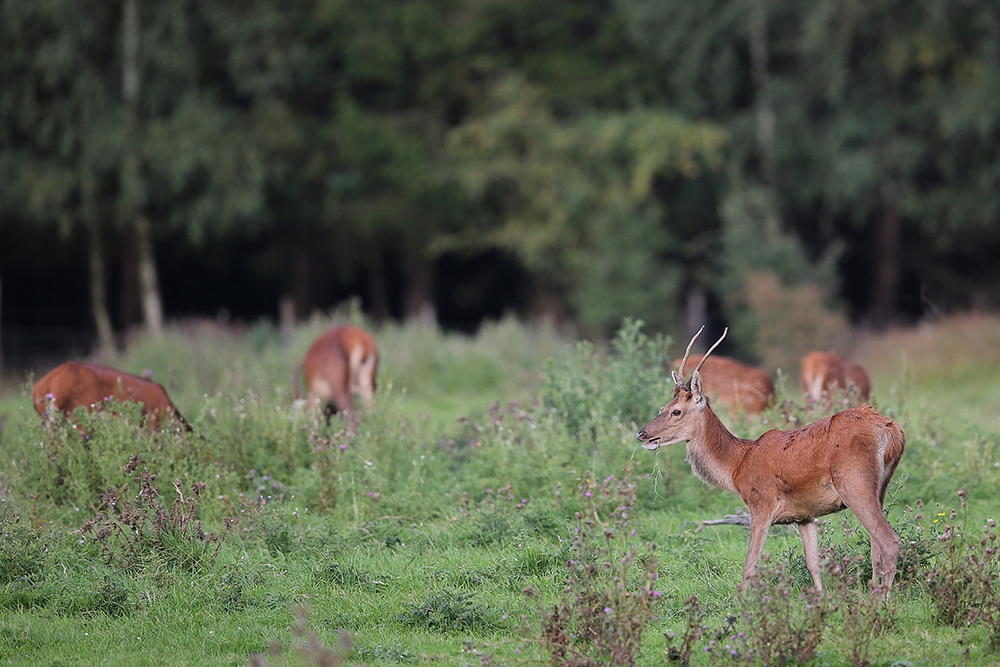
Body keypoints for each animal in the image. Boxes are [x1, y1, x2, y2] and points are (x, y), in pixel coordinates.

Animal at [640, 328, 908, 600]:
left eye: (676, 411)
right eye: (663, 407)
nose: (643, 434)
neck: (737, 466)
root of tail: (892, 431)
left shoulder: (762, 504)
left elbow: (750, 565)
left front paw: (741, 602)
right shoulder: (805, 515)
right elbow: (813, 562)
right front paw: (819, 600)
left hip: (854, 481)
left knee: (889, 541)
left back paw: (882, 602)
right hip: (880, 487)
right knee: (875, 548)